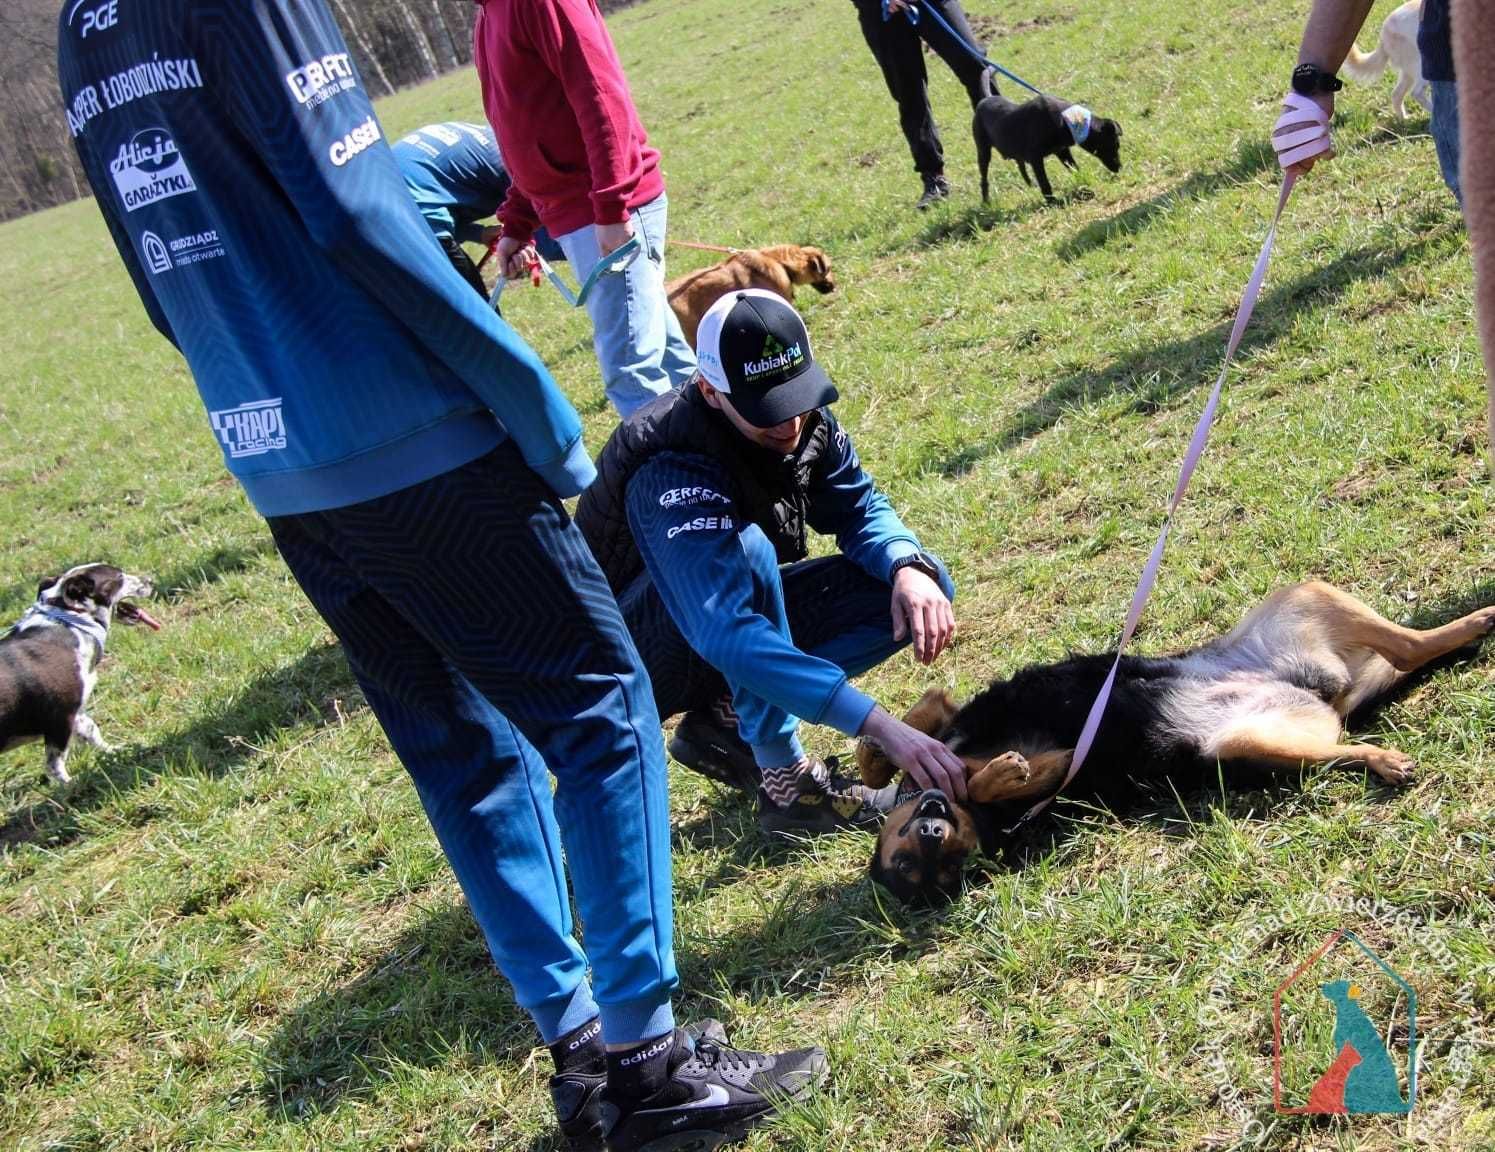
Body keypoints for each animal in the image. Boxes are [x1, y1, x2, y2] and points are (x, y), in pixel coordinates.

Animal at [0, 564, 159, 788]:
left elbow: (91, 730)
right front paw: (70, 786)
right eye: (119, 577)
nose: (151, 580)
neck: (73, 624)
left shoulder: (76, 711)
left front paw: (116, 751)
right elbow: (55, 763)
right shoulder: (60, 718)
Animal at [861, 582, 1495, 908]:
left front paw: (885, 758)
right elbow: (996, 776)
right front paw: (995, 775)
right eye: (916, 868)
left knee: (1410, 643)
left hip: (1301, 598)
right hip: (1251, 742)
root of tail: (1325, 693)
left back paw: (1475, 620)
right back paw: (1386, 756)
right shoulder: (1056, 774)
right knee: (1396, 672)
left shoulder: (952, 720)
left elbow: (909, 729)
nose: (932, 827)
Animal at [968, 74, 1124, 203]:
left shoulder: (1062, 152)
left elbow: (1075, 169)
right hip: (983, 150)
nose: (1119, 168)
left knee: (1020, 163)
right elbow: (1045, 183)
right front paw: (1053, 202)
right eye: (1114, 145)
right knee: (984, 177)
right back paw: (986, 201)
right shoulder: (1035, 158)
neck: (1067, 120)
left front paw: (1084, 187)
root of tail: (985, 99)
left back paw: (1030, 184)